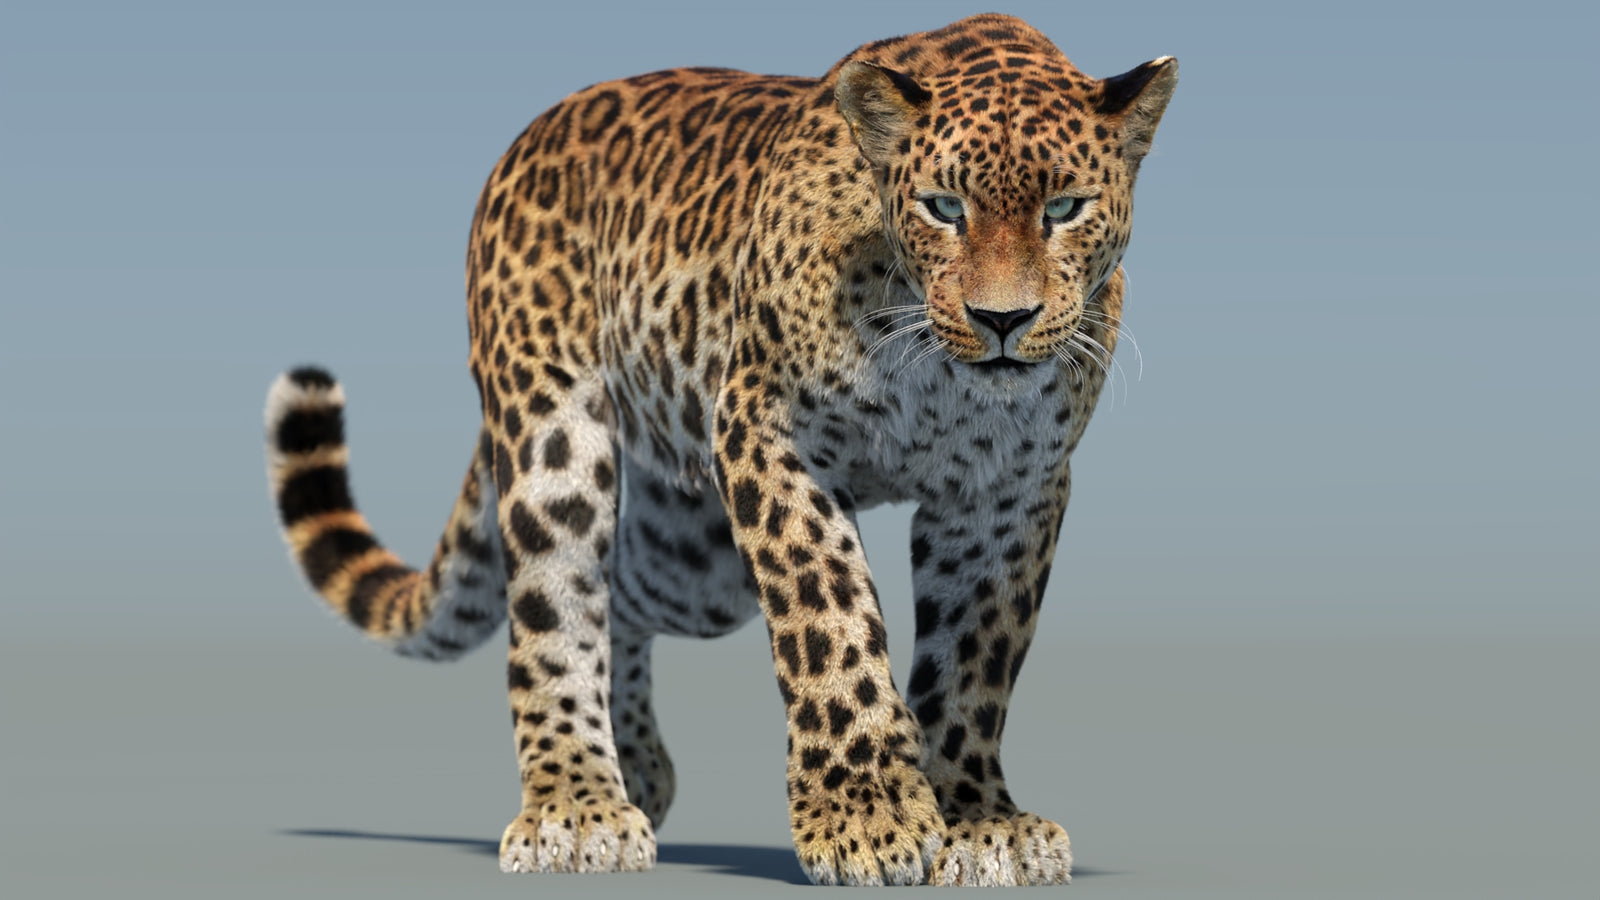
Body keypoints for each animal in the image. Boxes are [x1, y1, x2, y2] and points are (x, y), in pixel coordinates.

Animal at [263, 13, 1175, 886]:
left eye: (1065, 209)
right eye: (944, 208)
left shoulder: (1008, 490)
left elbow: (974, 659)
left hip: (691, 557)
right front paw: (866, 817)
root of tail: (529, 138)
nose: (1002, 320)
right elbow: (830, 613)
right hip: (557, 438)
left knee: (622, 599)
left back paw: (636, 769)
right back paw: (578, 805)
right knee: (555, 612)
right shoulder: (766, 431)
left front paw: (979, 819)